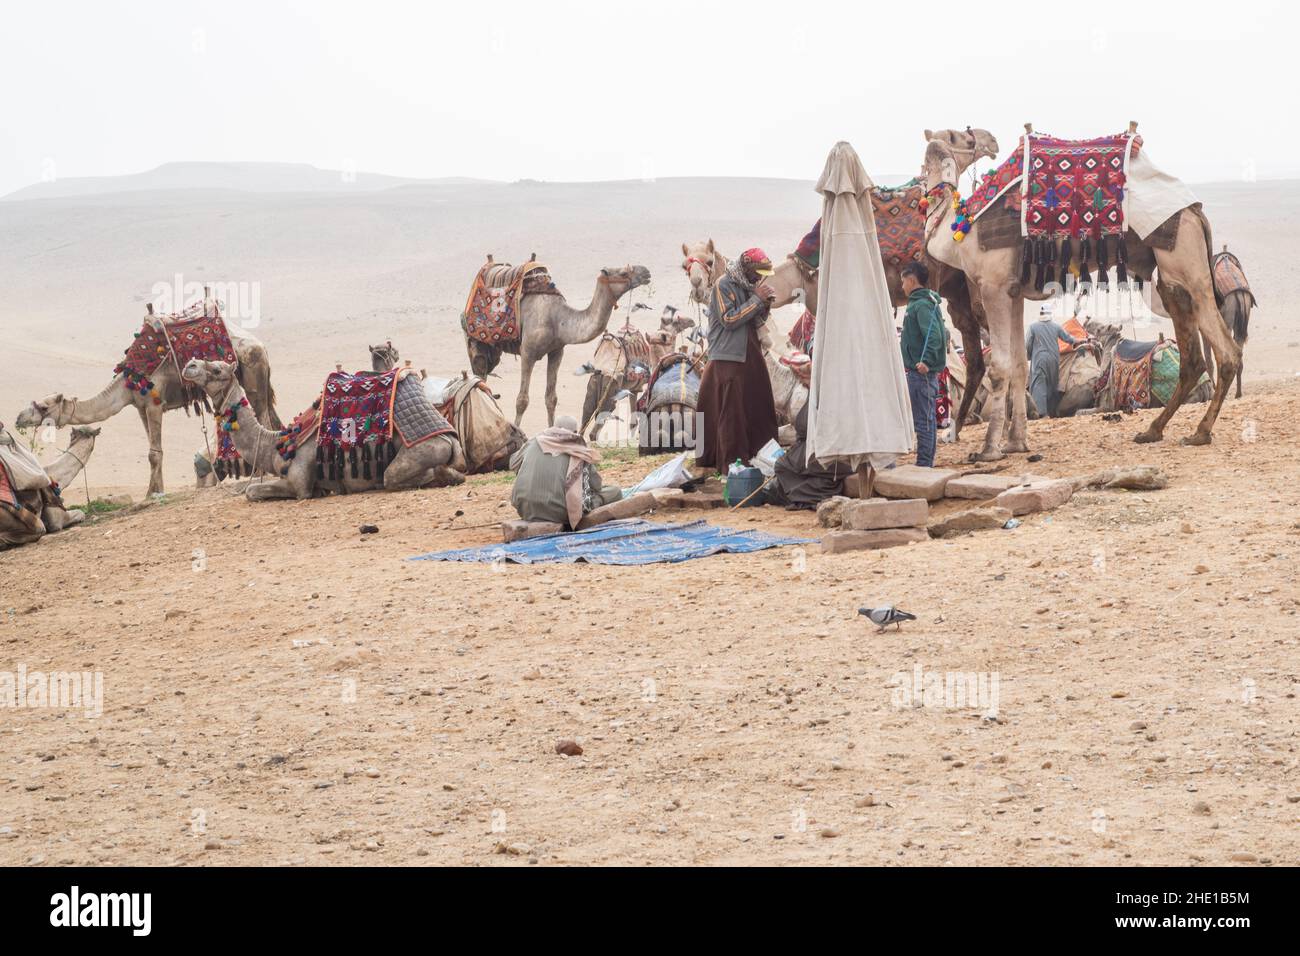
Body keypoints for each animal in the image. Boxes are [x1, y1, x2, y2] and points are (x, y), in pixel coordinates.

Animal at [15, 306, 282, 496]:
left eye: (44, 406)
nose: (19, 418)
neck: (130, 380)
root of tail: (261, 345)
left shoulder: (155, 403)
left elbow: (154, 453)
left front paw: (150, 494)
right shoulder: (140, 407)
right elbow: (154, 451)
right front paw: (156, 490)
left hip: (253, 370)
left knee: (263, 417)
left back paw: (262, 474)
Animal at [178, 361, 467, 504]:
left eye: (217, 368)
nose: (190, 364)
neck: (278, 445)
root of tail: (453, 441)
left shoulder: (300, 482)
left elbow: (254, 492)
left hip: (424, 449)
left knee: (395, 477)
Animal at [462, 261, 655, 426]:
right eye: (623, 272)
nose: (646, 272)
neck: (558, 320)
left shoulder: (556, 351)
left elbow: (551, 398)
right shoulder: (528, 353)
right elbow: (522, 400)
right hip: (476, 341)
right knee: (480, 373)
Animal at [920, 125, 1242, 457]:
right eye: (961, 135)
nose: (991, 140)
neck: (961, 227)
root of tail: (1195, 211)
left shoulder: (992, 285)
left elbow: (1000, 368)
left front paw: (987, 450)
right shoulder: (1012, 291)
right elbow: (1021, 366)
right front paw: (1016, 442)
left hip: (1185, 260)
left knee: (1226, 350)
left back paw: (1200, 432)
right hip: (1169, 277)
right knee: (1193, 356)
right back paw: (1154, 430)